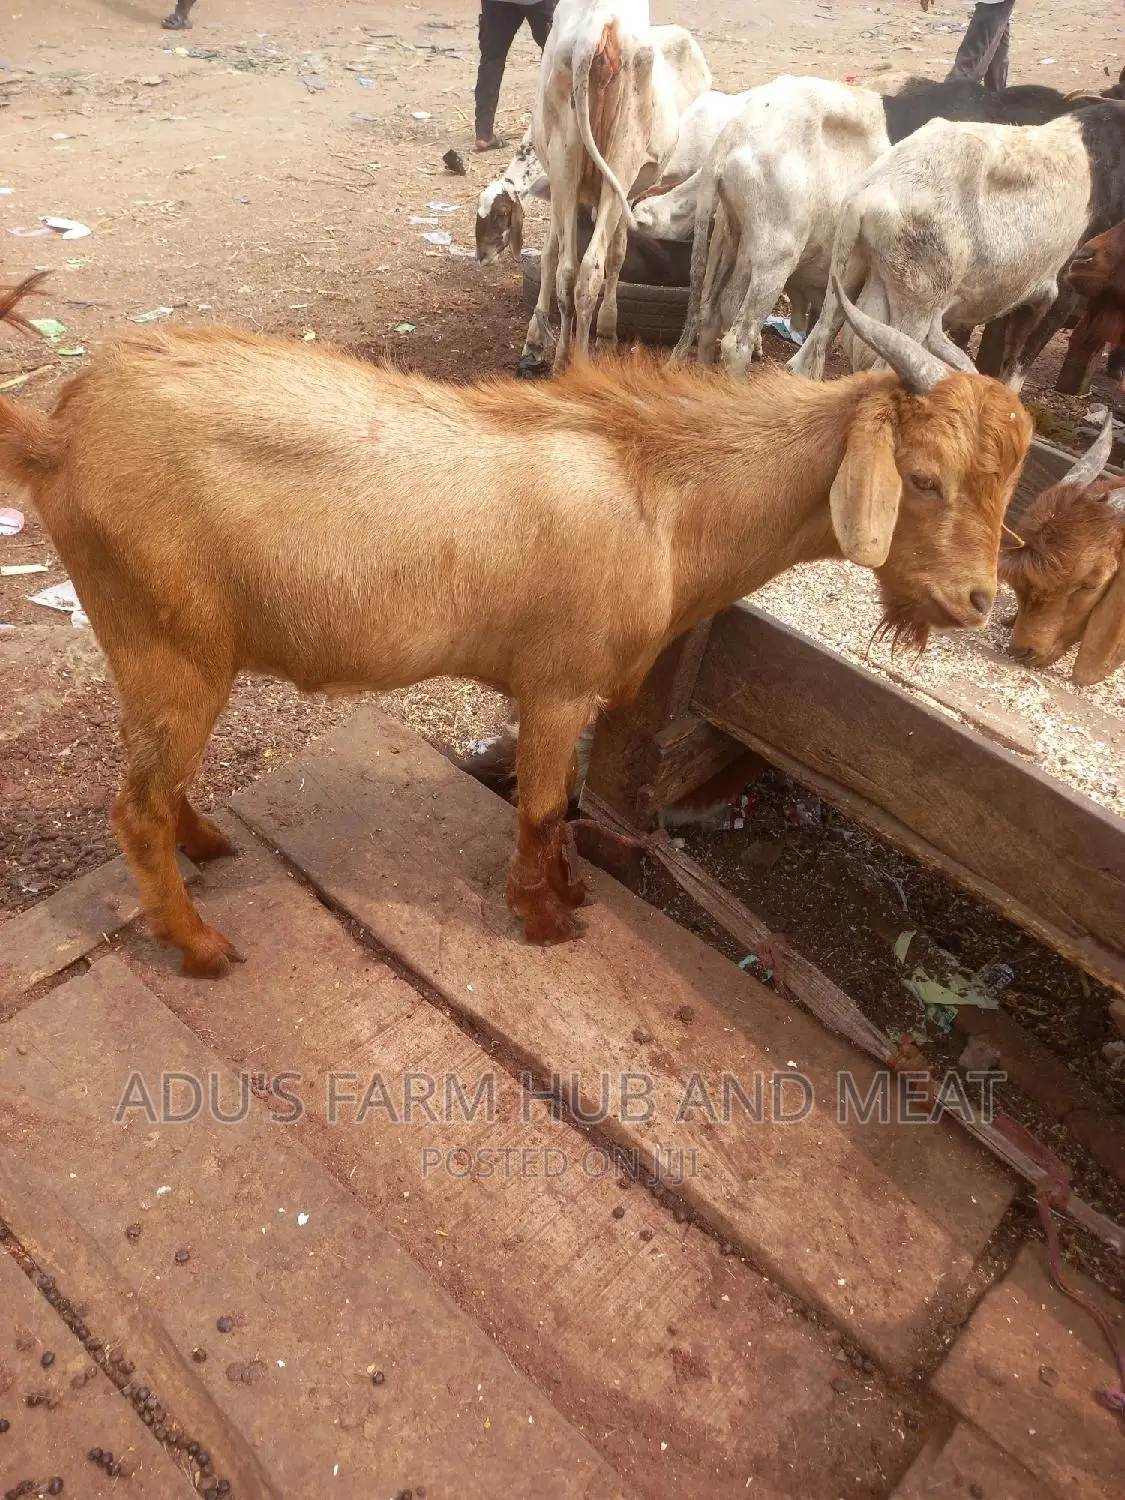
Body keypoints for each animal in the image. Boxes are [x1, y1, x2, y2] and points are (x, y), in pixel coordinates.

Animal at [0, 273, 1032, 978]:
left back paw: (208, 846)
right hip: (167, 647)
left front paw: (568, 892)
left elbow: (564, 806)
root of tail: (59, 436)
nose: (976, 602)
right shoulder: (557, 688)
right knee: (133, 808)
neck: (660, 494)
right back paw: (201, 943)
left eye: (1011, 477)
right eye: (924, 479)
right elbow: (539, 810)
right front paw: (545, 921)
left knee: (157, 782)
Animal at [518, 4, 710, 374]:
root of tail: (598, 27)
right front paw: (606, 332)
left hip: (567, 159)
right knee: (589, 268)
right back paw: (579, 360)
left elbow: (553, 253)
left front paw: (535, 341)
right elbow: (617, 252)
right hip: (619, 162)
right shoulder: (628, 192)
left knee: (569, 271)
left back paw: (563, 359)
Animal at [791, 102, 1125, 390]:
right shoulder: (1056, 296)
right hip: (917, 308)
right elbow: (1015, 371)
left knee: (809, 356)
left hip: (845, 280)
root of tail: (871, 193)